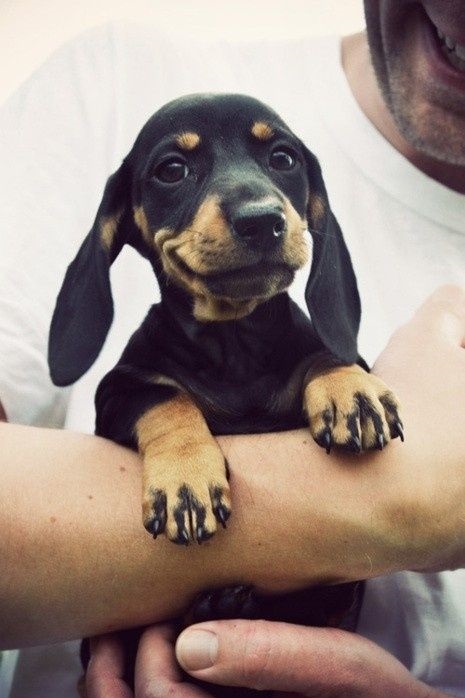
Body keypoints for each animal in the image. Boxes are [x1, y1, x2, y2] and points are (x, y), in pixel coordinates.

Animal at [49, 91, 400, 692]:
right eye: (172, 170)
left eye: (283, 158)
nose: (262, 221)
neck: (234, 346)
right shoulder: (117, 392)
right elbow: (164, 396)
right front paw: (186, 478)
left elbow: (326, 353)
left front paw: (351, 393)